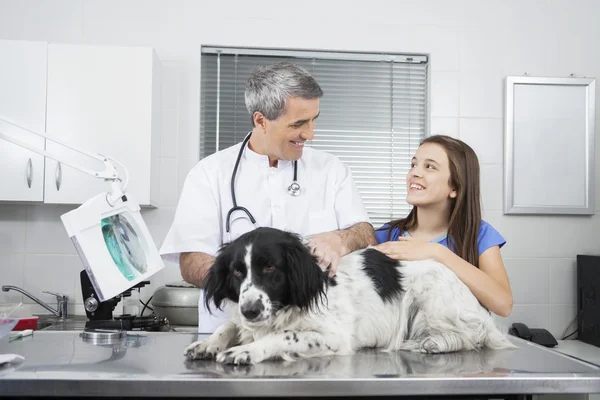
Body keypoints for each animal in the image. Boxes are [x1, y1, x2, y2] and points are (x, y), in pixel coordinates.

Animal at [184, 227, 516, 364]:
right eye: (237, 272)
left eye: (269, 267)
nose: (250, 310)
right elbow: (229, 326)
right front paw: (207, 343)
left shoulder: (335, 336)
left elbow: (285, 336)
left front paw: (246, 351)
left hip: (431, 297)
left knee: (470, 337)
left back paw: (432, 343)